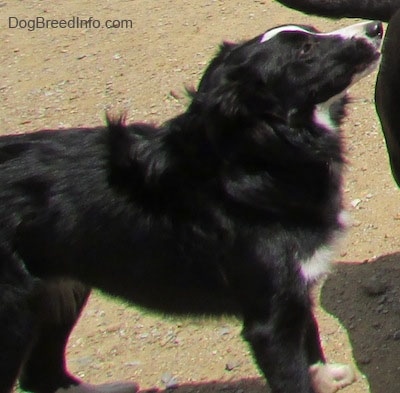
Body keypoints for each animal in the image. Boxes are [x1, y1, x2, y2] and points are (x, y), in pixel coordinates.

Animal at [0, 20, 382, 392]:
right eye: (305, 51)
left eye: (313, 32)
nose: (376, 27)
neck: (261, 157)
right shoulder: (270, 319)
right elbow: (292, 374)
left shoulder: (294, 289)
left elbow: (310, 333)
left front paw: (324, 375)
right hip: (16, 314)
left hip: (60, 288)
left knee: (40, 374)